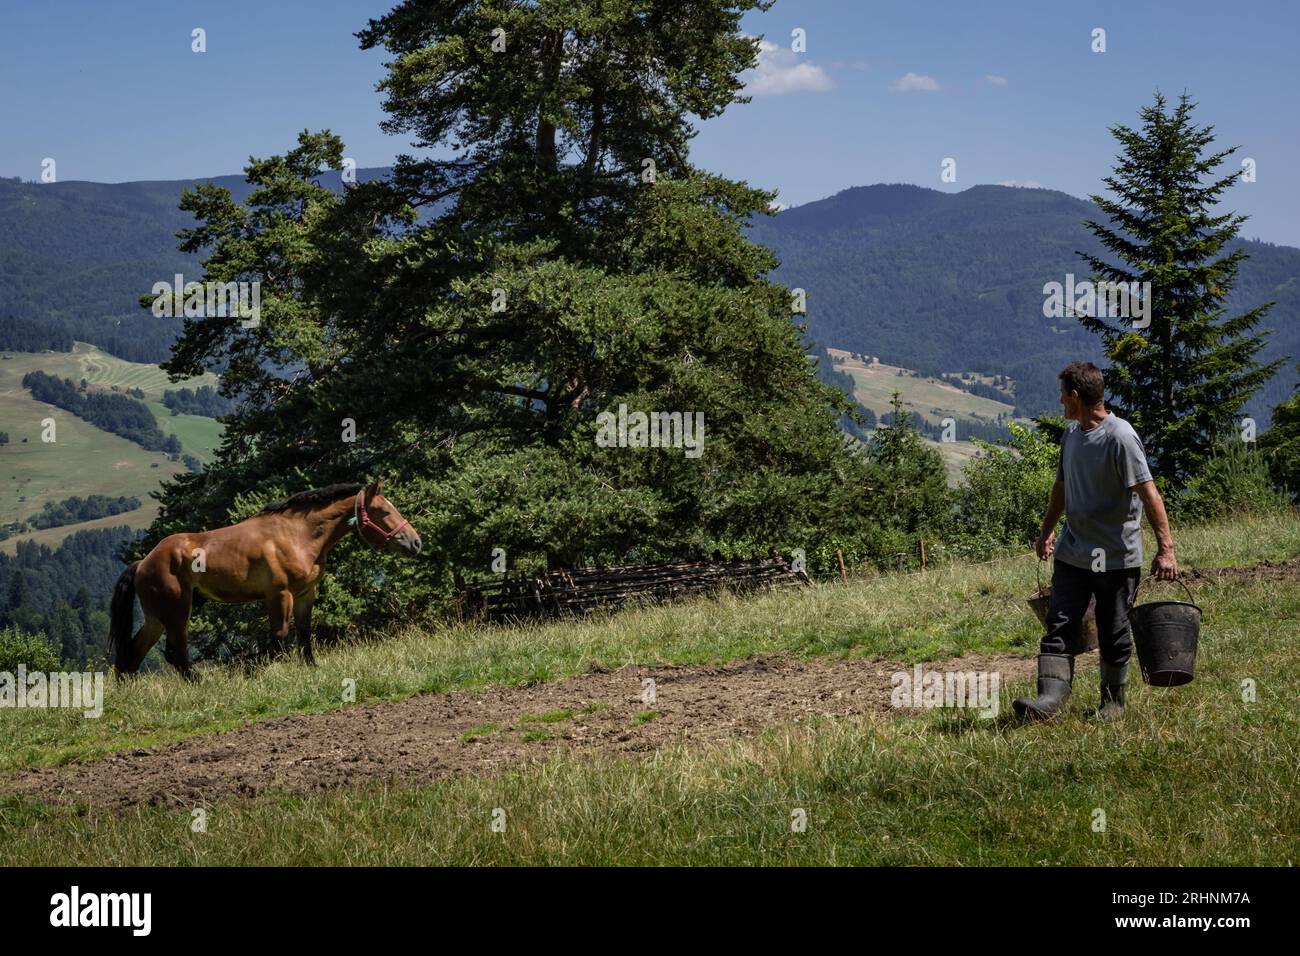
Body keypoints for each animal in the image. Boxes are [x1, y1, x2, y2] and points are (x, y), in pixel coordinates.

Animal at [108, 478, 421, 681]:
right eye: (384, 511)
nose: (415, 542)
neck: (297, 535)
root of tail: (143, 563)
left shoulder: (305, 593)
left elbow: (304, 632)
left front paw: (312, 668)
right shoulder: (280, 594)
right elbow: (278, 638)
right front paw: (257, 670)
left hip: (157, 618)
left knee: (132, 655)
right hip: (176, 613)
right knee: (174, 653)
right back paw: (200, 682)